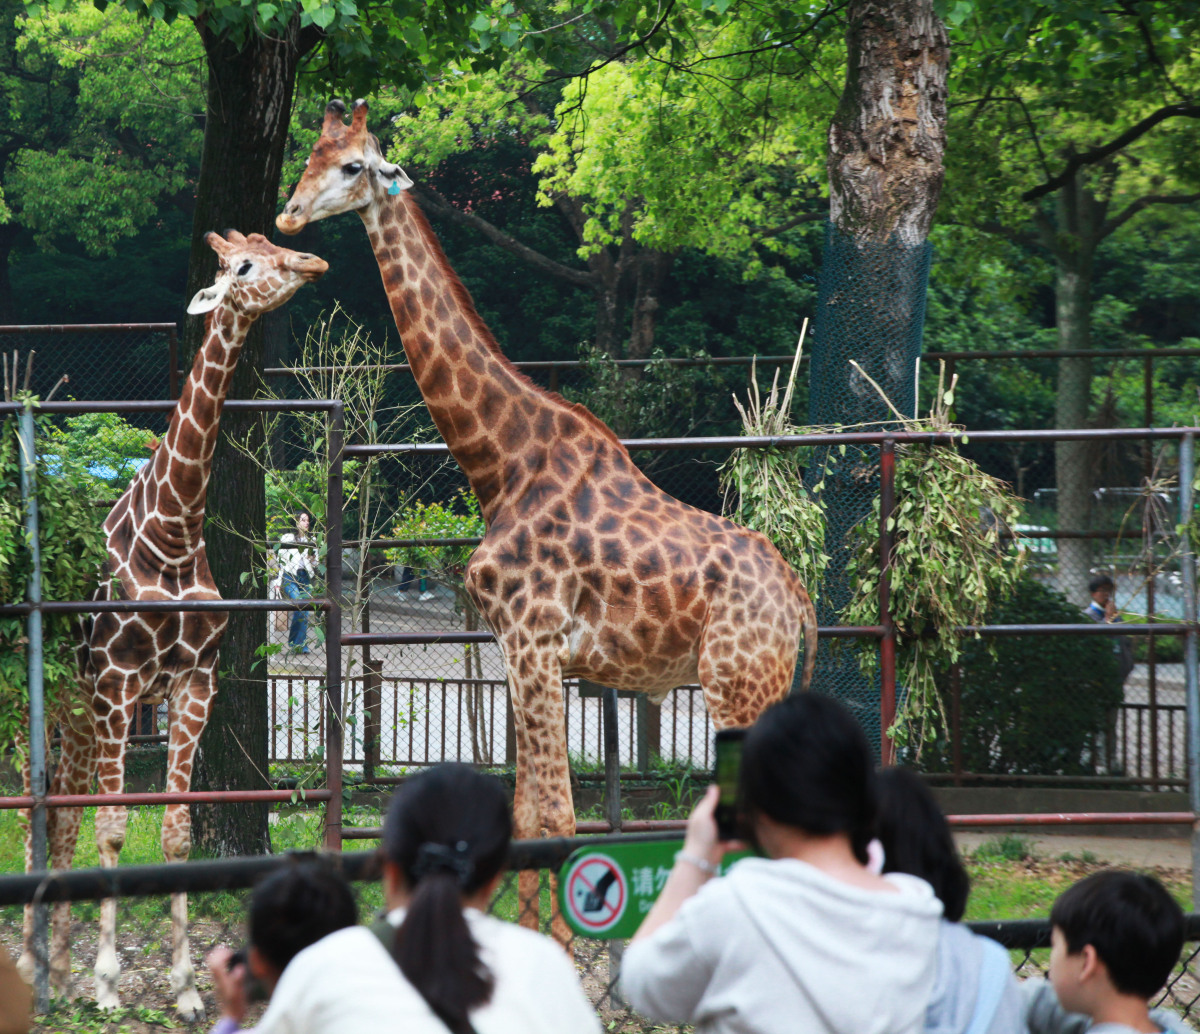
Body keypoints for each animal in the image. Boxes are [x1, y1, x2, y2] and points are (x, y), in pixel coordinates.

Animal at [18, 230, 328, 1017]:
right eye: (243, 265)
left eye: (272, 244)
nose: (310, 262)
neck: (174, 531)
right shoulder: (119, 685)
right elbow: (113, 828)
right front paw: (106, 985)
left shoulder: (193, 682)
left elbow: (176, 832)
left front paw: (186, 991)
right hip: (41, 703)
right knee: (40, 809)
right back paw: (40, 970)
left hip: (74, 711)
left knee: (59, 815)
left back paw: (56, 970)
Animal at [278, 98, 816, 930]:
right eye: (309, 153)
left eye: (353, 165)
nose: (290, 213)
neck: (502, 462)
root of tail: (799, 600)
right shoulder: (523, 652)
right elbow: (530, 818)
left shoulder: (534, 644)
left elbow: (559, 821)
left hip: (736, 683)